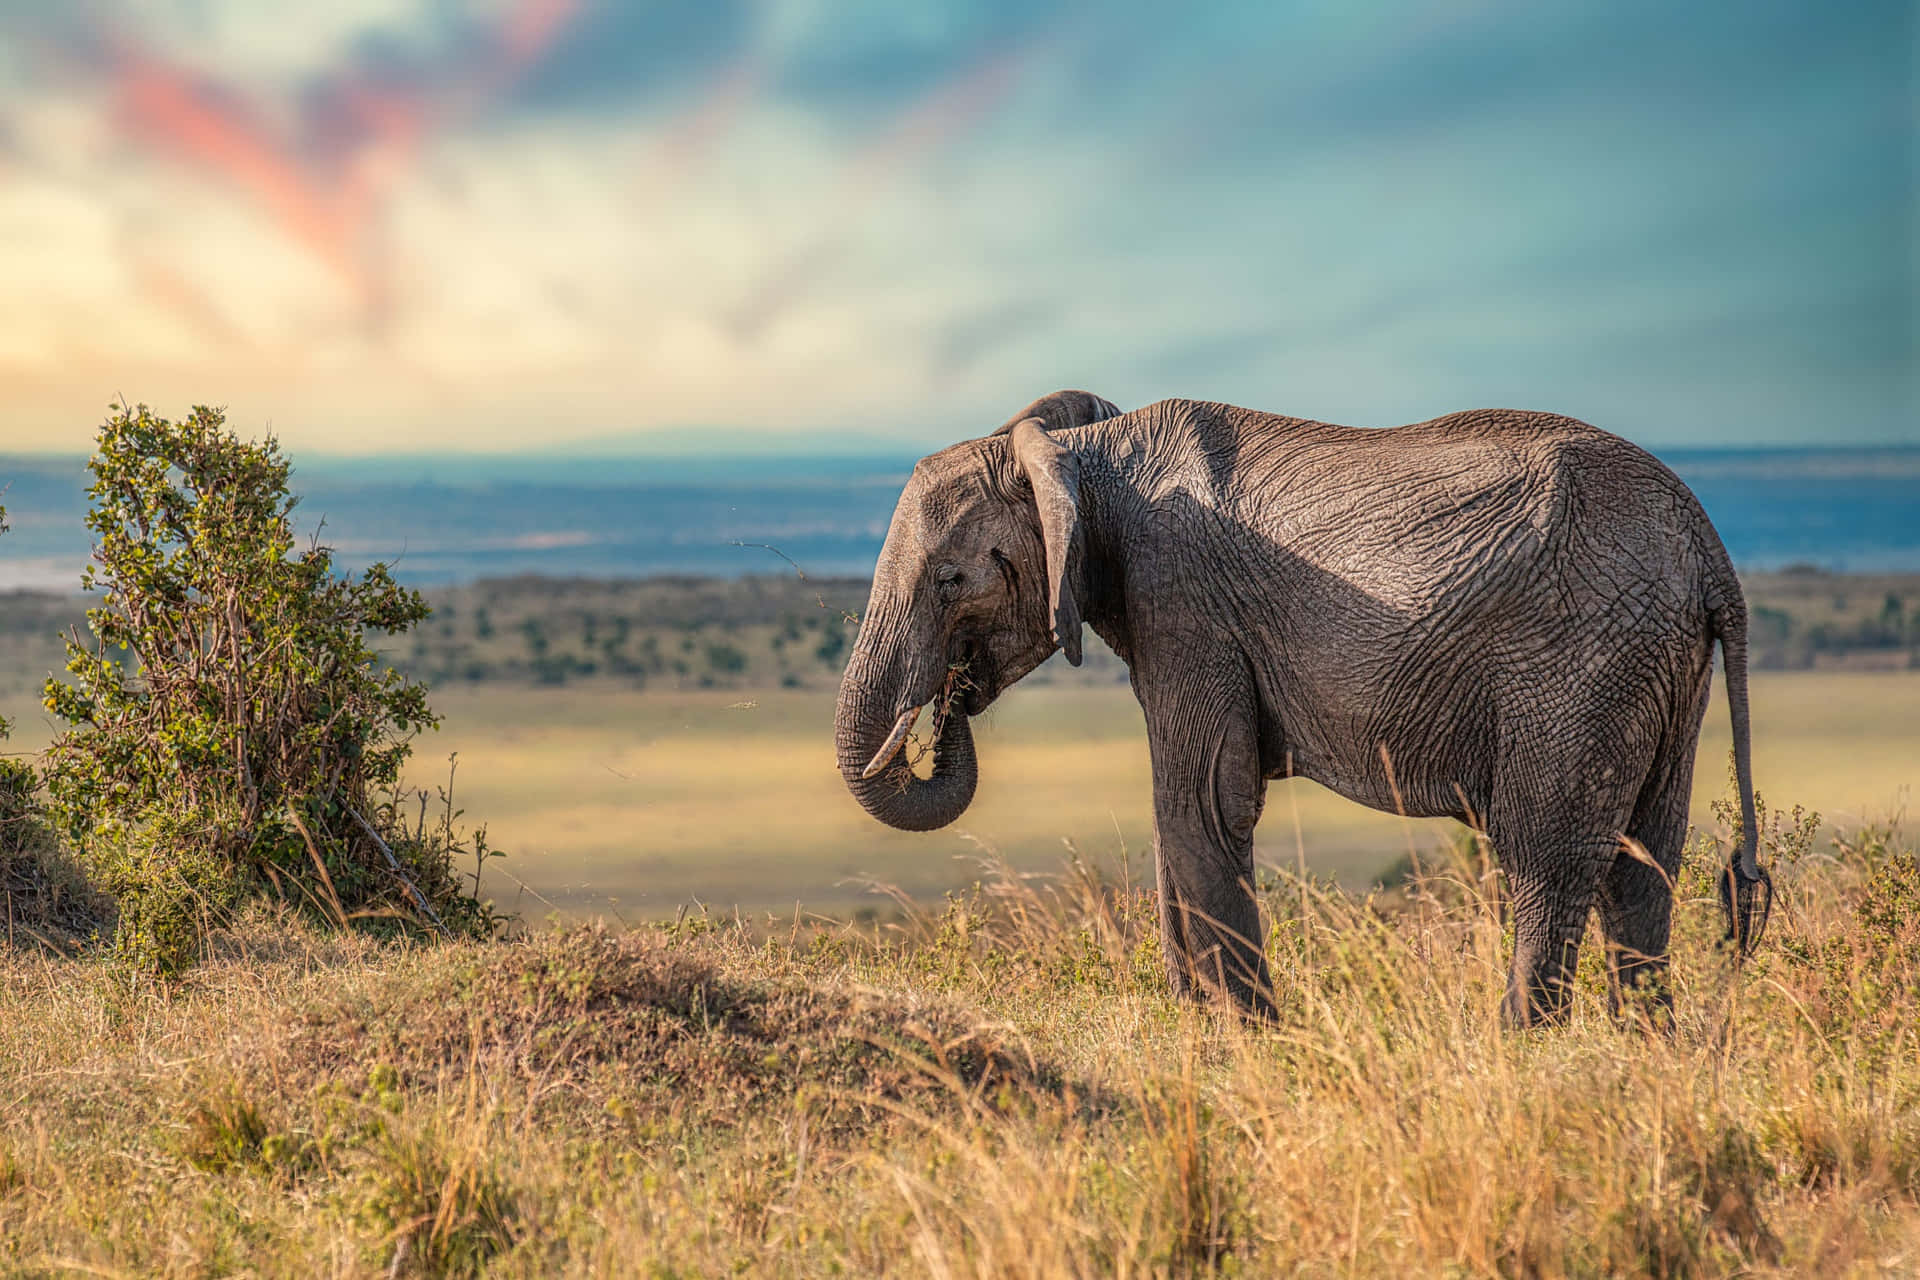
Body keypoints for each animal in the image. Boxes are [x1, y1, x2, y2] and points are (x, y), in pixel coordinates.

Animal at [834, 391, 1772, 1027]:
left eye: (951, 580)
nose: (949, 702)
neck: (1079, 454)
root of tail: (1710, 554)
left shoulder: (1186, 604)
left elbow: (1202, 803)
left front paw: (1249, 1044)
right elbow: (1182, 815)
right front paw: (1200, 1030)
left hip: (1584, 662)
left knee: (1548, 857)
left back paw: (1521, 1051)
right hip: (1657, 668)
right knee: (1644, 863)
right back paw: (1643, 1053)